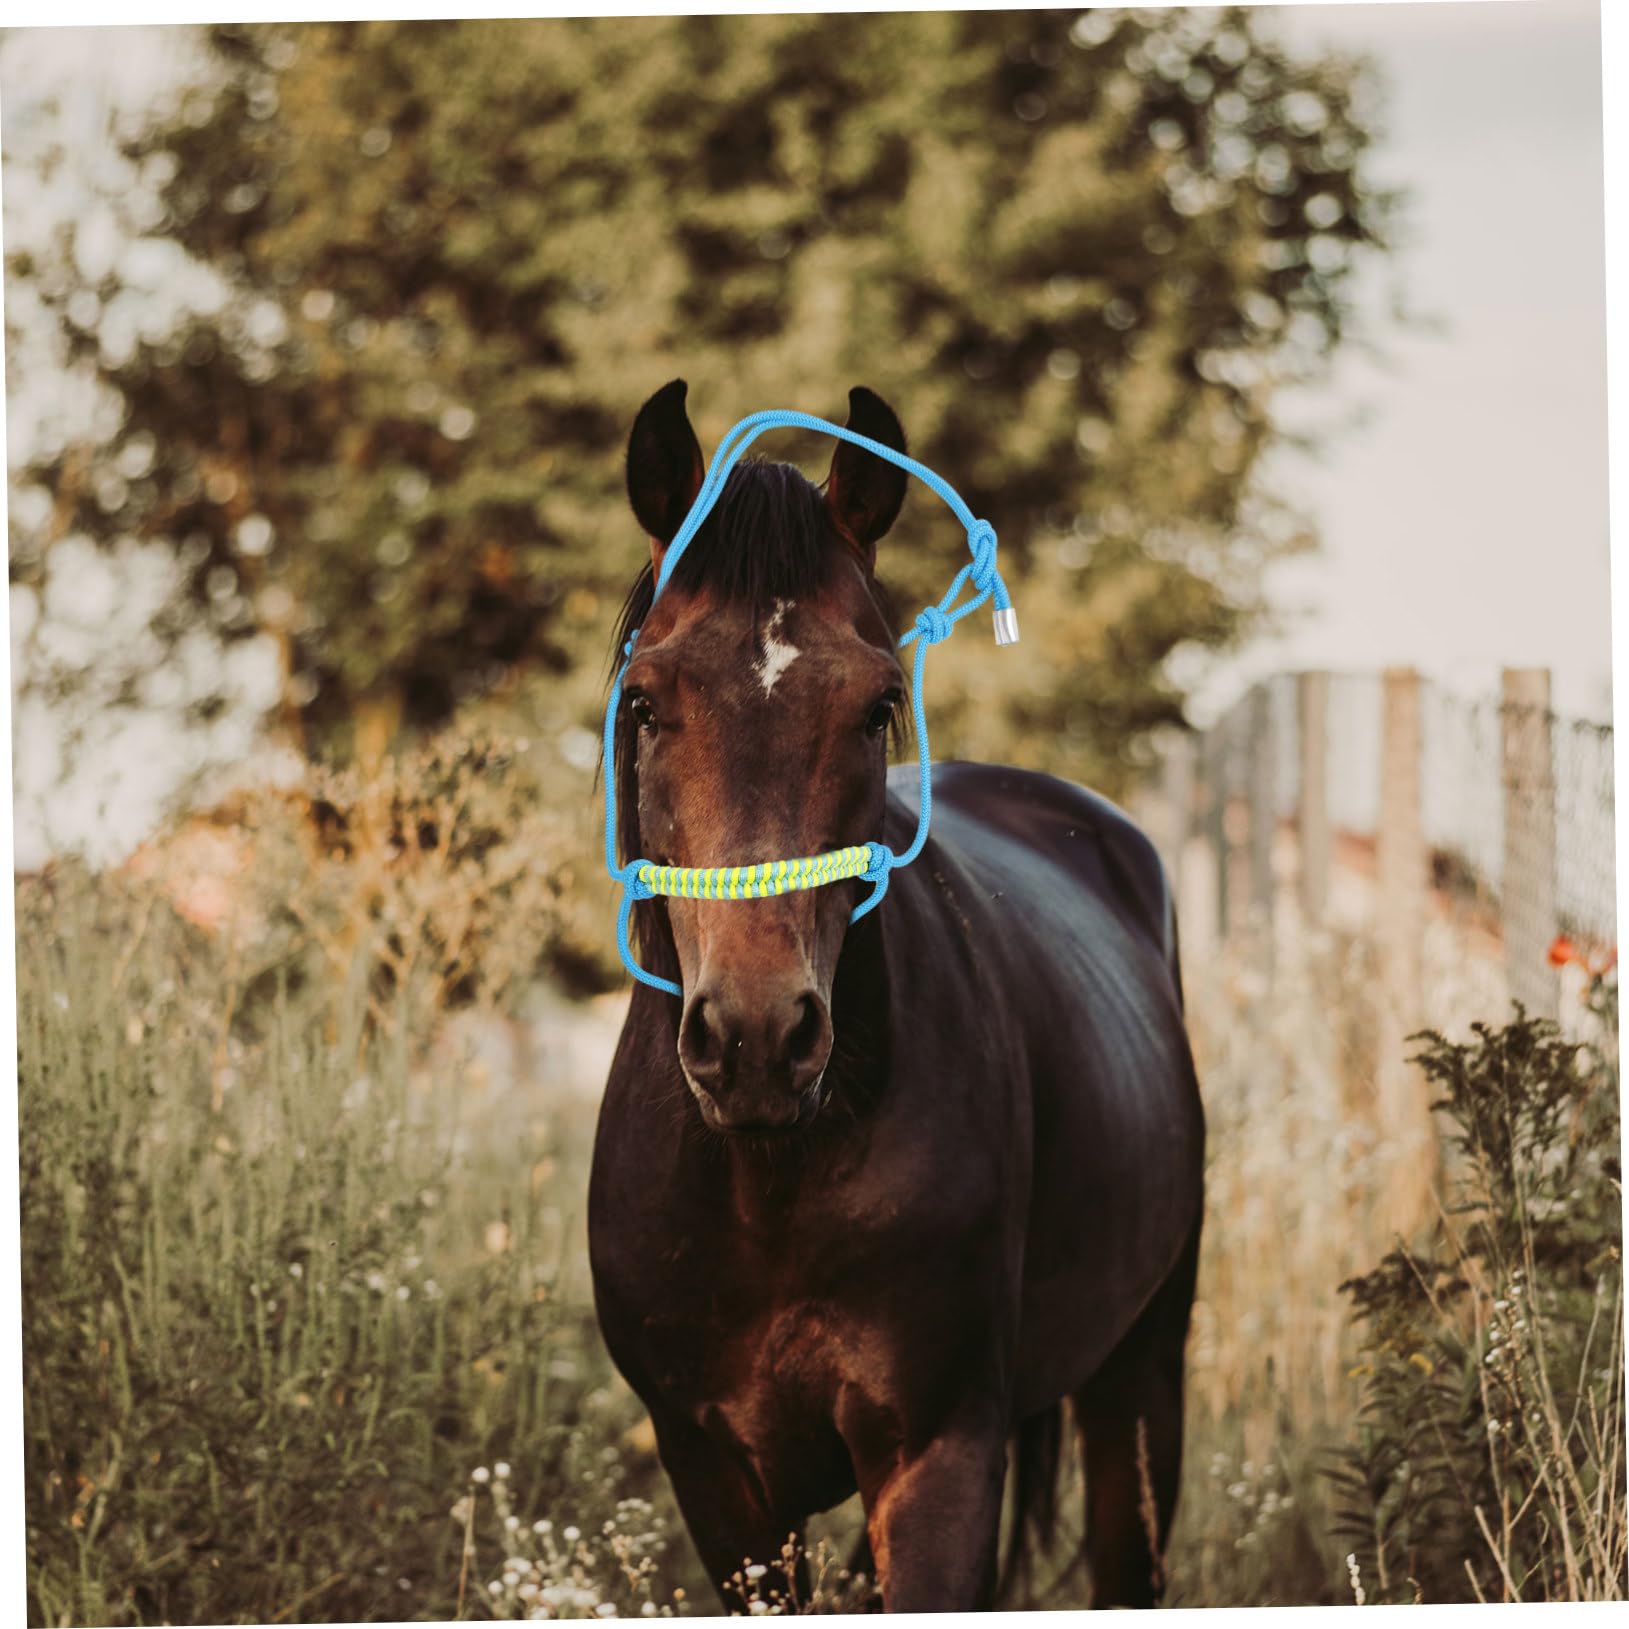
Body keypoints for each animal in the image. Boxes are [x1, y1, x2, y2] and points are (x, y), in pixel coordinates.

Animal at [588, 380, 1206, 1612]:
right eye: (643, 702)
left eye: (877, 706)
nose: (758, 1038)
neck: (767, 1183)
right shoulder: (718, 1483)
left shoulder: (939, 1455)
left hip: (1142, 1378)